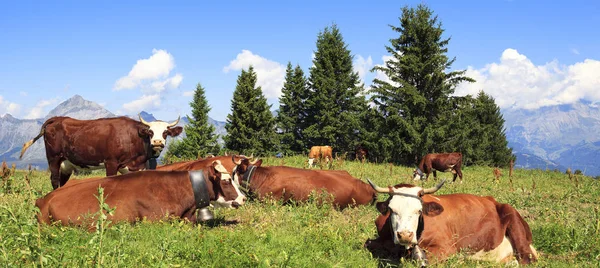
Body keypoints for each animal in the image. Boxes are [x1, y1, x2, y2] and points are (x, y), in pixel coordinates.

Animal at [18, 114, 183, 188]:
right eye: (150, 132)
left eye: (166, 133)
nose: (157, 143)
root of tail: (58, 118)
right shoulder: (111, 162)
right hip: (53, 158)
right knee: (54, 180)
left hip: (66, 164)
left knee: (62, 182)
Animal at [366, 179, 540, 264]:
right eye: (392, 209)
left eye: (419, 211)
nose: (405, 235)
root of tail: (494, 201)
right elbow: (368, 244)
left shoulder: (446, 248)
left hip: (514, 223)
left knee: (527, 259)